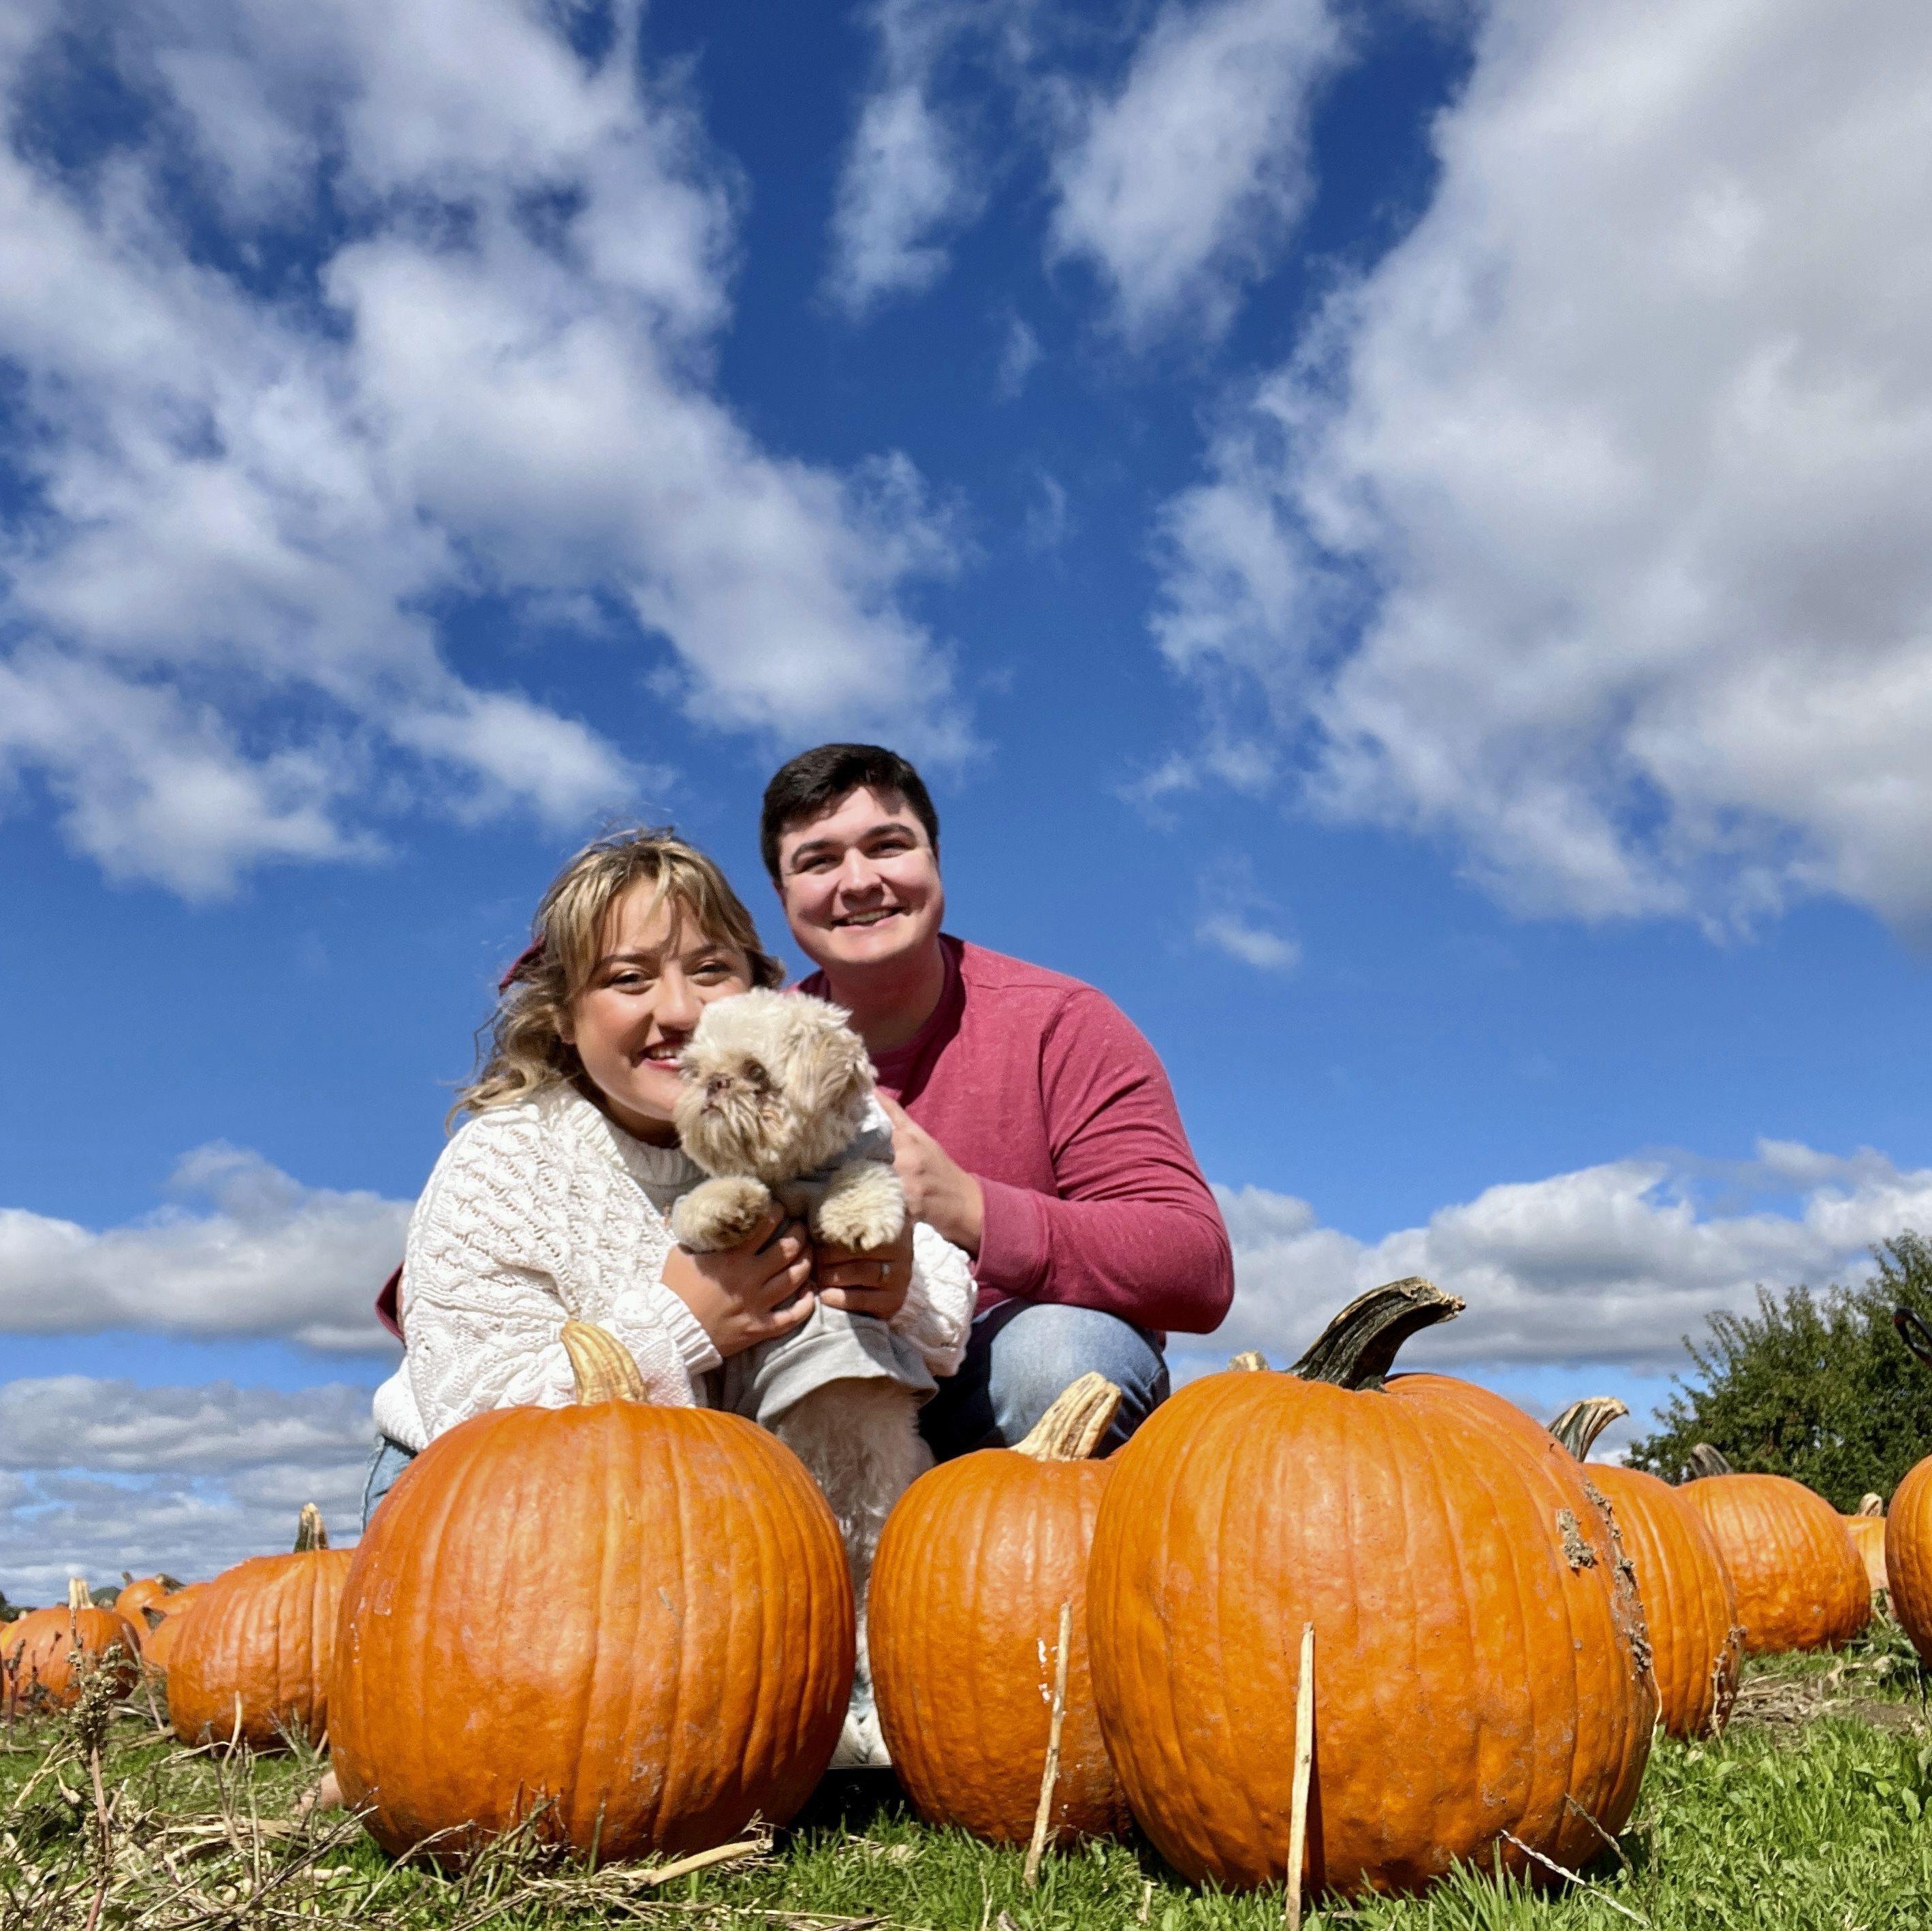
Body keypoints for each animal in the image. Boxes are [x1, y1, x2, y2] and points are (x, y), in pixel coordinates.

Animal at [672, 996, 927, 1768]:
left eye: (756, 1071)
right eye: (692, 1069)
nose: (714, 1086)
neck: (793, 1175)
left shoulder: (869, 1167)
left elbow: (866, 1180)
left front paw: (854, 1216)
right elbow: (700, 1198)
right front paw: (726, 1205)